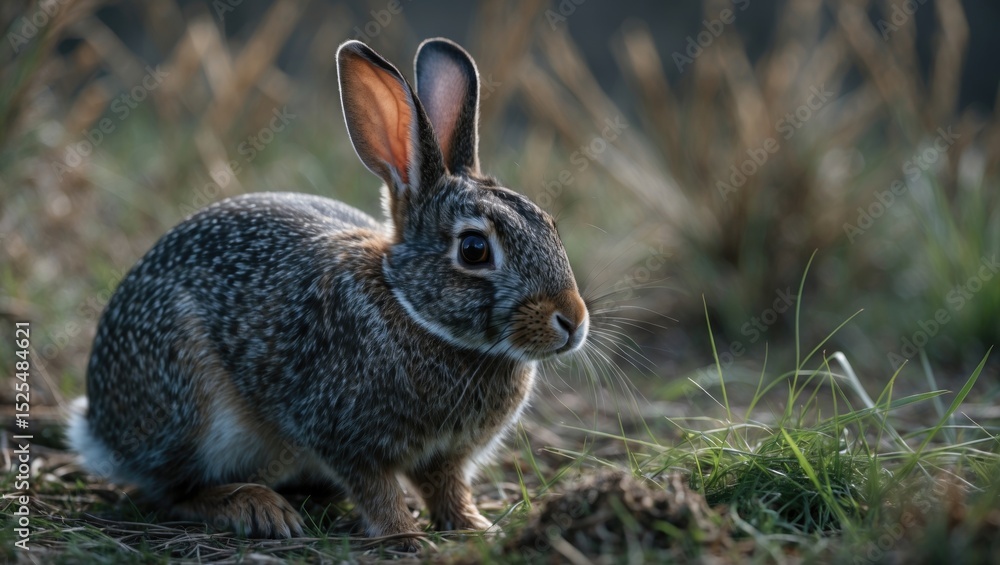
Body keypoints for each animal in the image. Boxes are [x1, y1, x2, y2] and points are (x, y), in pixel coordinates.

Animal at [67, 37, 589, 551]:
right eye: (474, 249)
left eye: (550, 225)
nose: (573, 320)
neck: (409, 307)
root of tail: (99, 426)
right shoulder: (342, 434)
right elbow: (376, 489)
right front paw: (405, 535)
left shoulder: (445, 457)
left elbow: (447, 487)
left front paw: (475, 526)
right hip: (191, 409)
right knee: (173, 491)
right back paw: (256, 507)